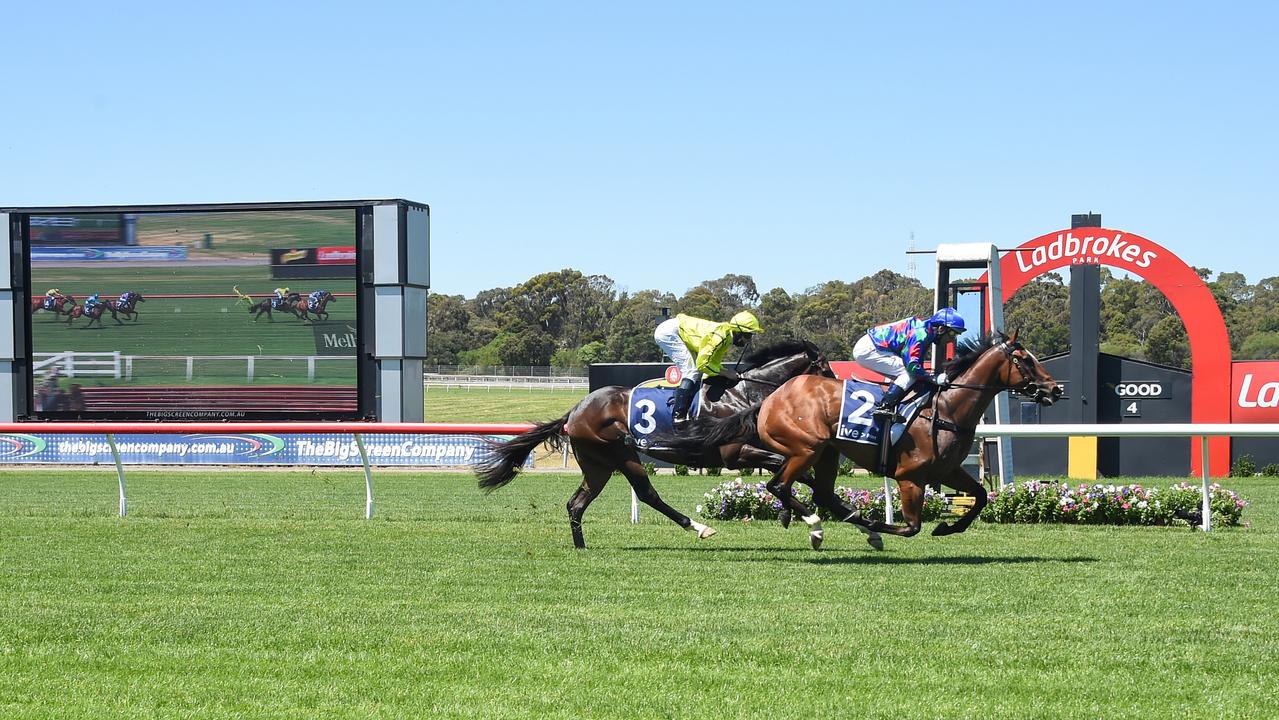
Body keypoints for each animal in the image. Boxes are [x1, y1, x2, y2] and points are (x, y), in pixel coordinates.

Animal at [480, 340, 839, 549]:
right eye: (825, 366)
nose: (839, 388)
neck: (744, 395)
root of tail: (578, 407)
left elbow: (797, 473)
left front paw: (793, 513)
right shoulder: (736, 453)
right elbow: (786, 472)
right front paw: (806, 519)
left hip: (598, 464)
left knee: (577, 503)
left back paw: (581, 545)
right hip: (619, 453)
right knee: (646, 493)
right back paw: (699, 527)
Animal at [659, 332, 1059, 552]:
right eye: (1025, 360)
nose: (1054, 389)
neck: (946, 407)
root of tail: (771, 398)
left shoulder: (948, 470)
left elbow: (978, 496)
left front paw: (949, 526)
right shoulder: (910, 476)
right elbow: (911, 526)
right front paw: (876, 525)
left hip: (826, 454)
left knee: (818, 492)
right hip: (806, 448)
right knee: (779, 485)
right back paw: (819, 525)